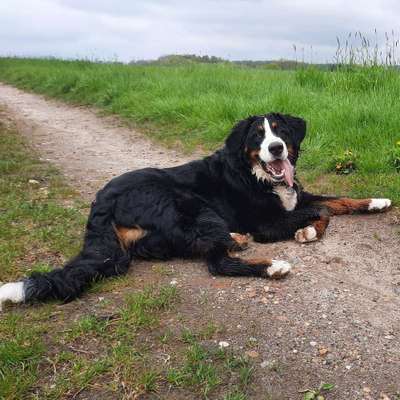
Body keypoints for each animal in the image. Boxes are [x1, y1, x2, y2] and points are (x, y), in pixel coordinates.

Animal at [0, 112, 392, 310]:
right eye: (257, 136)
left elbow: (336, 199)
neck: (257, 174)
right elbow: (323, 212)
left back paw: (237, 240)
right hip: (192, 205)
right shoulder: (266, 222)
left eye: (280, 131)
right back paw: (271, 265)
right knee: (217, 263)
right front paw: (307, 232)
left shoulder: (297, 194)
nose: (277, 148)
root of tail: (103, 199)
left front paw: (376, 201)